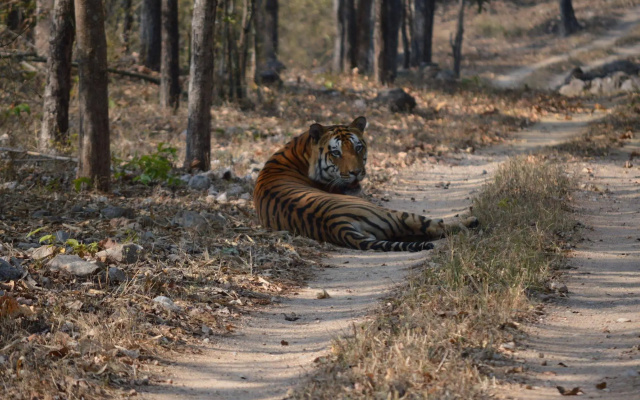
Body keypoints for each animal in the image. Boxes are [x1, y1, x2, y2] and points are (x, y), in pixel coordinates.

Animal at [253, 116, 478, 252]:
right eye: (336, 153)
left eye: (358, 147)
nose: (356, 172)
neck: (300, 150)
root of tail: (336, 224)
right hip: (392, 213)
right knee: (436, 226)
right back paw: (471, 220)